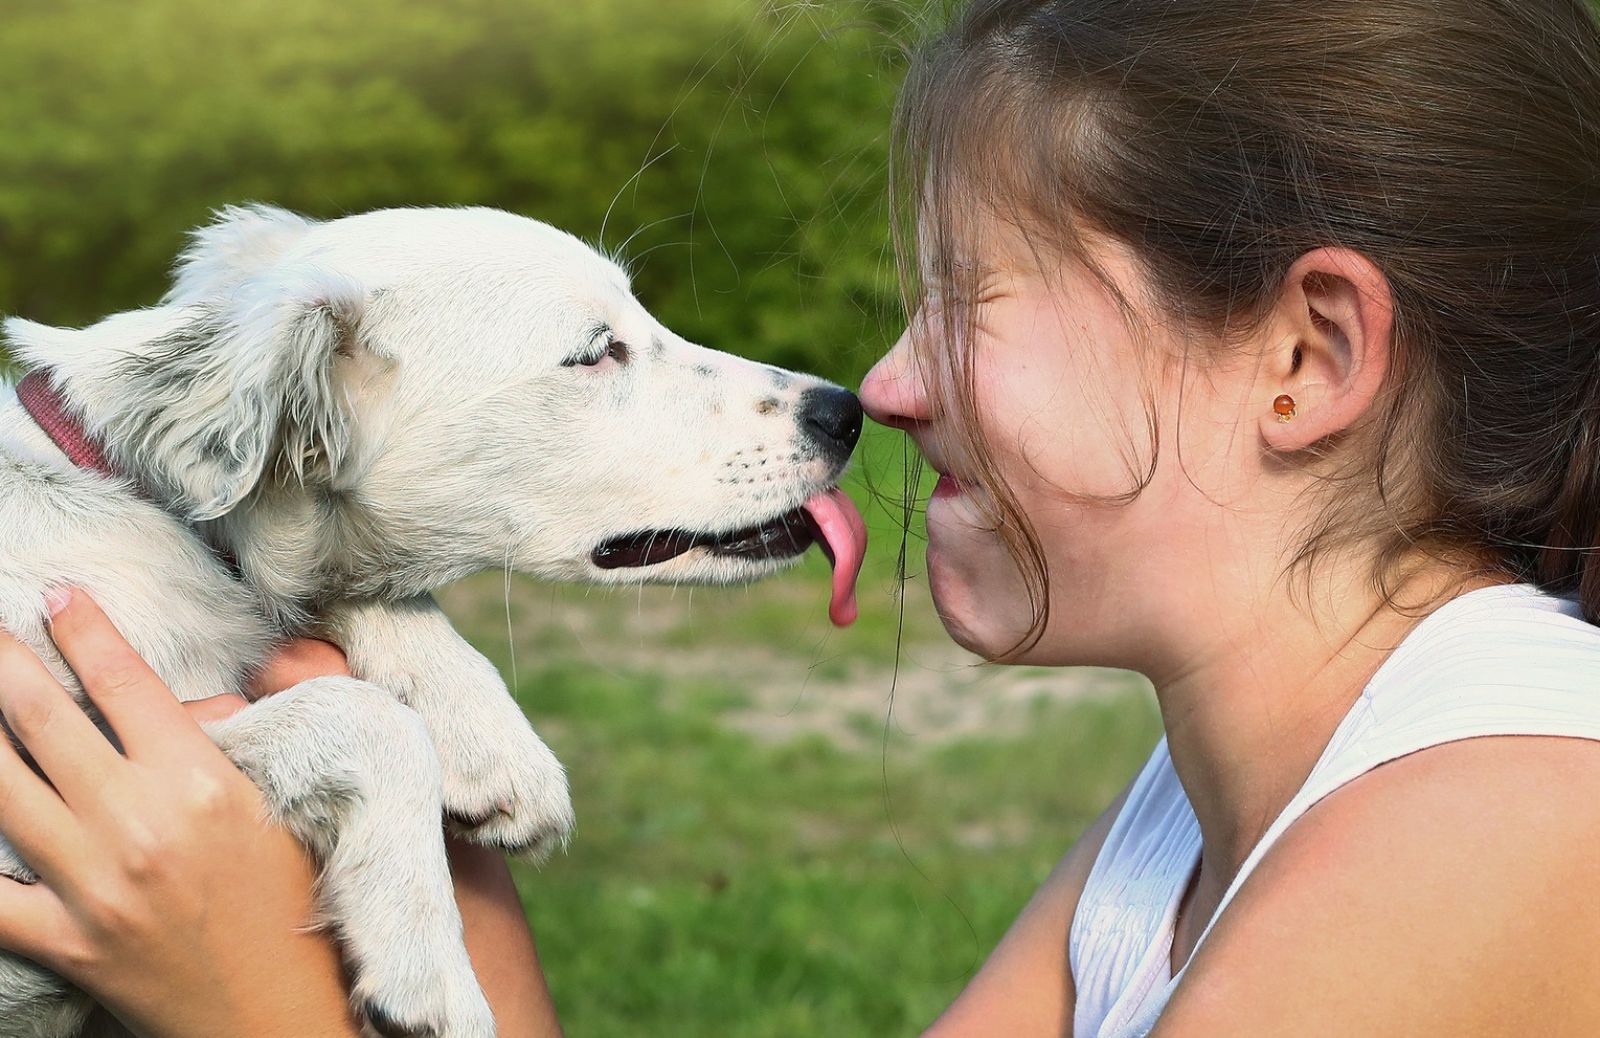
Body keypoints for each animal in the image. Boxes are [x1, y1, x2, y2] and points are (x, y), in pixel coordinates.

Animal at [0, 204, 864, 1036]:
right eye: (593, 353)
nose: (846, 411)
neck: (142, 497)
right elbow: (368, 717)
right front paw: (429, 975)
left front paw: (492, 745)